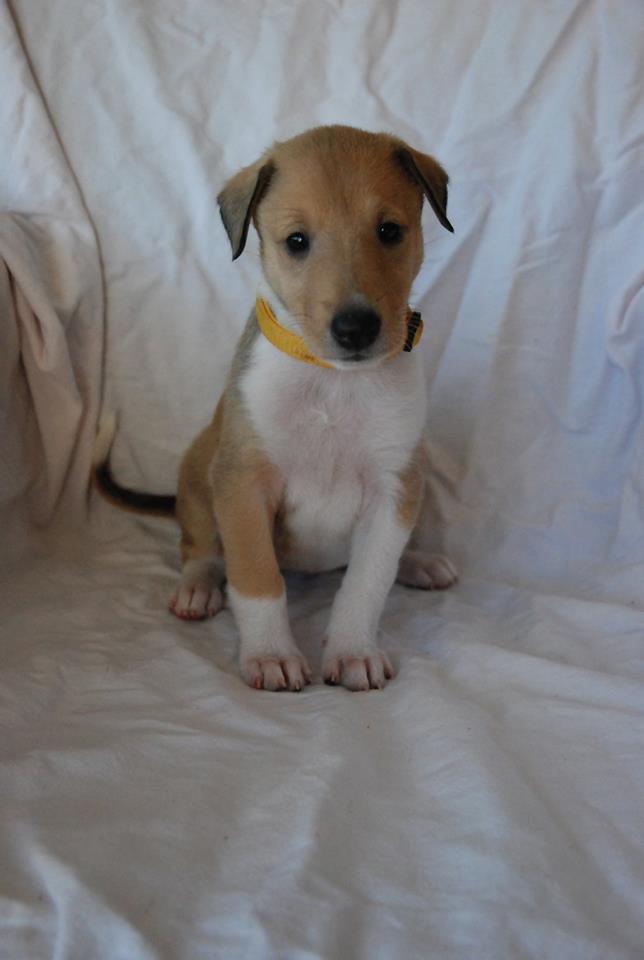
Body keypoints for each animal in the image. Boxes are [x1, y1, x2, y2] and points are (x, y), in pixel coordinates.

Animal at [95, 125, 458, 692]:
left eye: (390, 231)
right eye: (297, 241)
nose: (356, 328)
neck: (333, 383)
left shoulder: (393, 488)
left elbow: (368, 582)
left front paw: (354, 651)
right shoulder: (244, 483)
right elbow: (257, 578)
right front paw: (270, 655)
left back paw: (419, 563)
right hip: (199, 469)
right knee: (197, 545)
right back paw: (198, 586)